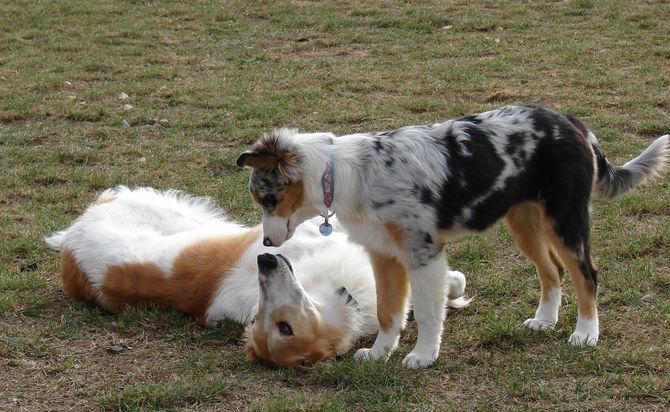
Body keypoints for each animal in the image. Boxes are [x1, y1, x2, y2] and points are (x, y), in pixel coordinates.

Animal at [238, 104, 670, 368]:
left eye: (268, 198)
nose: (268, 248)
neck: (347, 176)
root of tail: (569, 121)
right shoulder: (384, 254)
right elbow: (388, 312)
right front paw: (379, 354)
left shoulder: (423, 254)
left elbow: (429, 312)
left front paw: (423, 356)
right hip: (524, 222)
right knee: (552, 272)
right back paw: (545, 321)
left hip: (565, 220)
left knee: (585, 274)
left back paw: (585, 333)